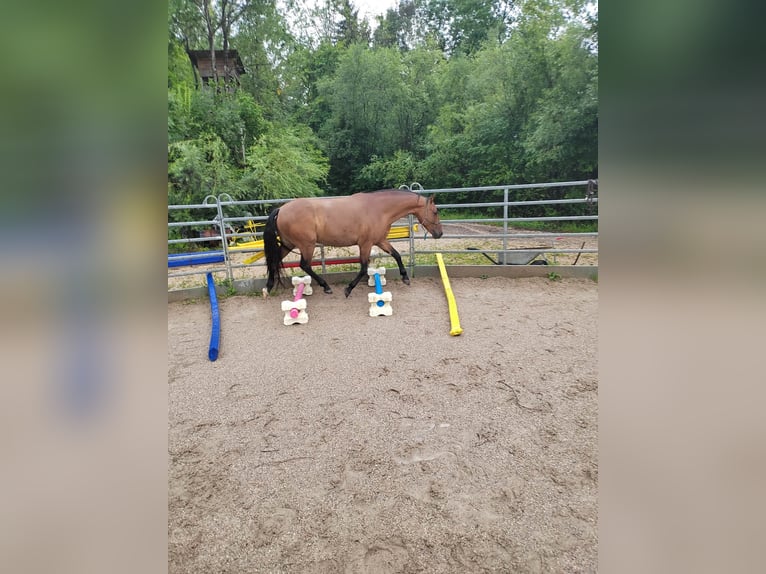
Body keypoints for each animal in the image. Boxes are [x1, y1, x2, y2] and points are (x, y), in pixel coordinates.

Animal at [263, 189, 444, 297]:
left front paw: (405, 277)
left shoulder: (380, 241)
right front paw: (348, 289)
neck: (379, 209)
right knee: (304, 265)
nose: (439, 233)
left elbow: (396, 255)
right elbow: (363, 268)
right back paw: (326, 286)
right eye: (435, 212)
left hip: (288, 244)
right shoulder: (365, 244)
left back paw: (268, 288)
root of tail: (281, 209)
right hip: (307, 245)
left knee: (274, 262)